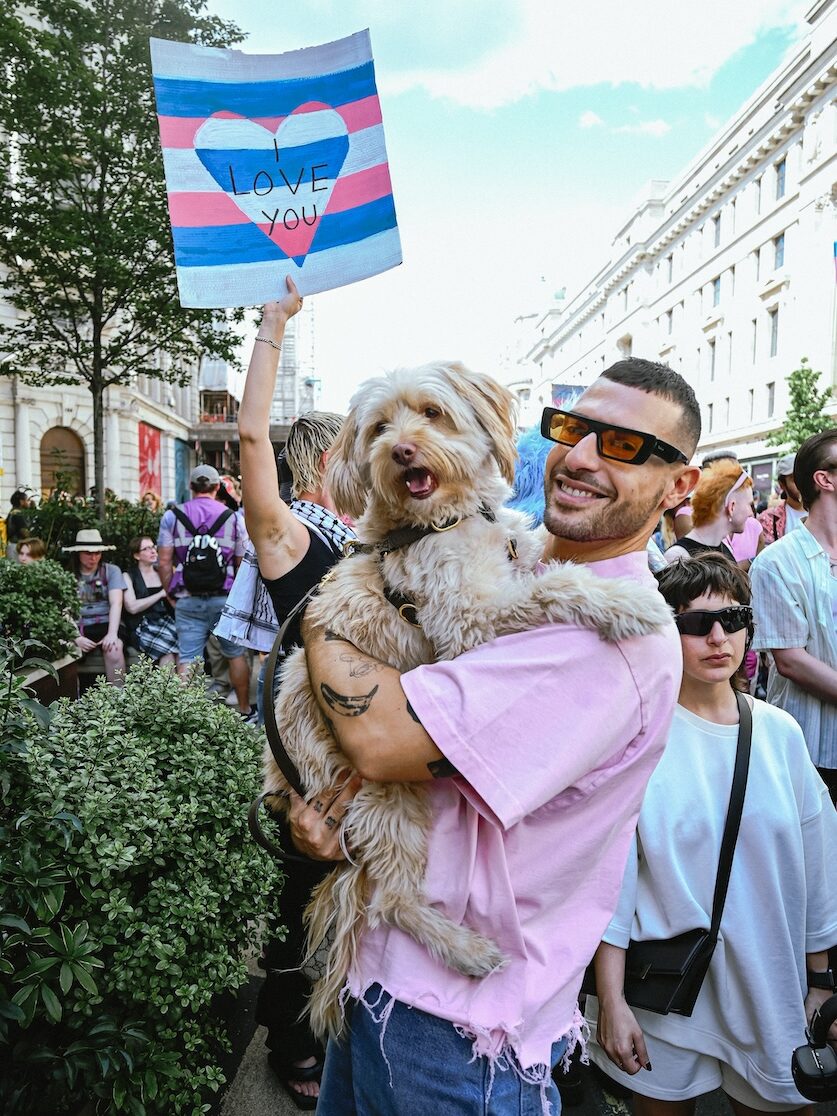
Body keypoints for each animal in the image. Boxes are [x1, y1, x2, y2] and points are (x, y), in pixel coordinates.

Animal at [265, 361, 674, 1040]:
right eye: (379, 428)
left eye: (431, 412)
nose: (401, 451)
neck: (443, 520)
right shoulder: (467, 619)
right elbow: (552, 585)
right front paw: (628, 601)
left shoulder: (505, 554)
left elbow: (532, 554)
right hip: (389, 798)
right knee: (392, 901)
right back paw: (466, 950)